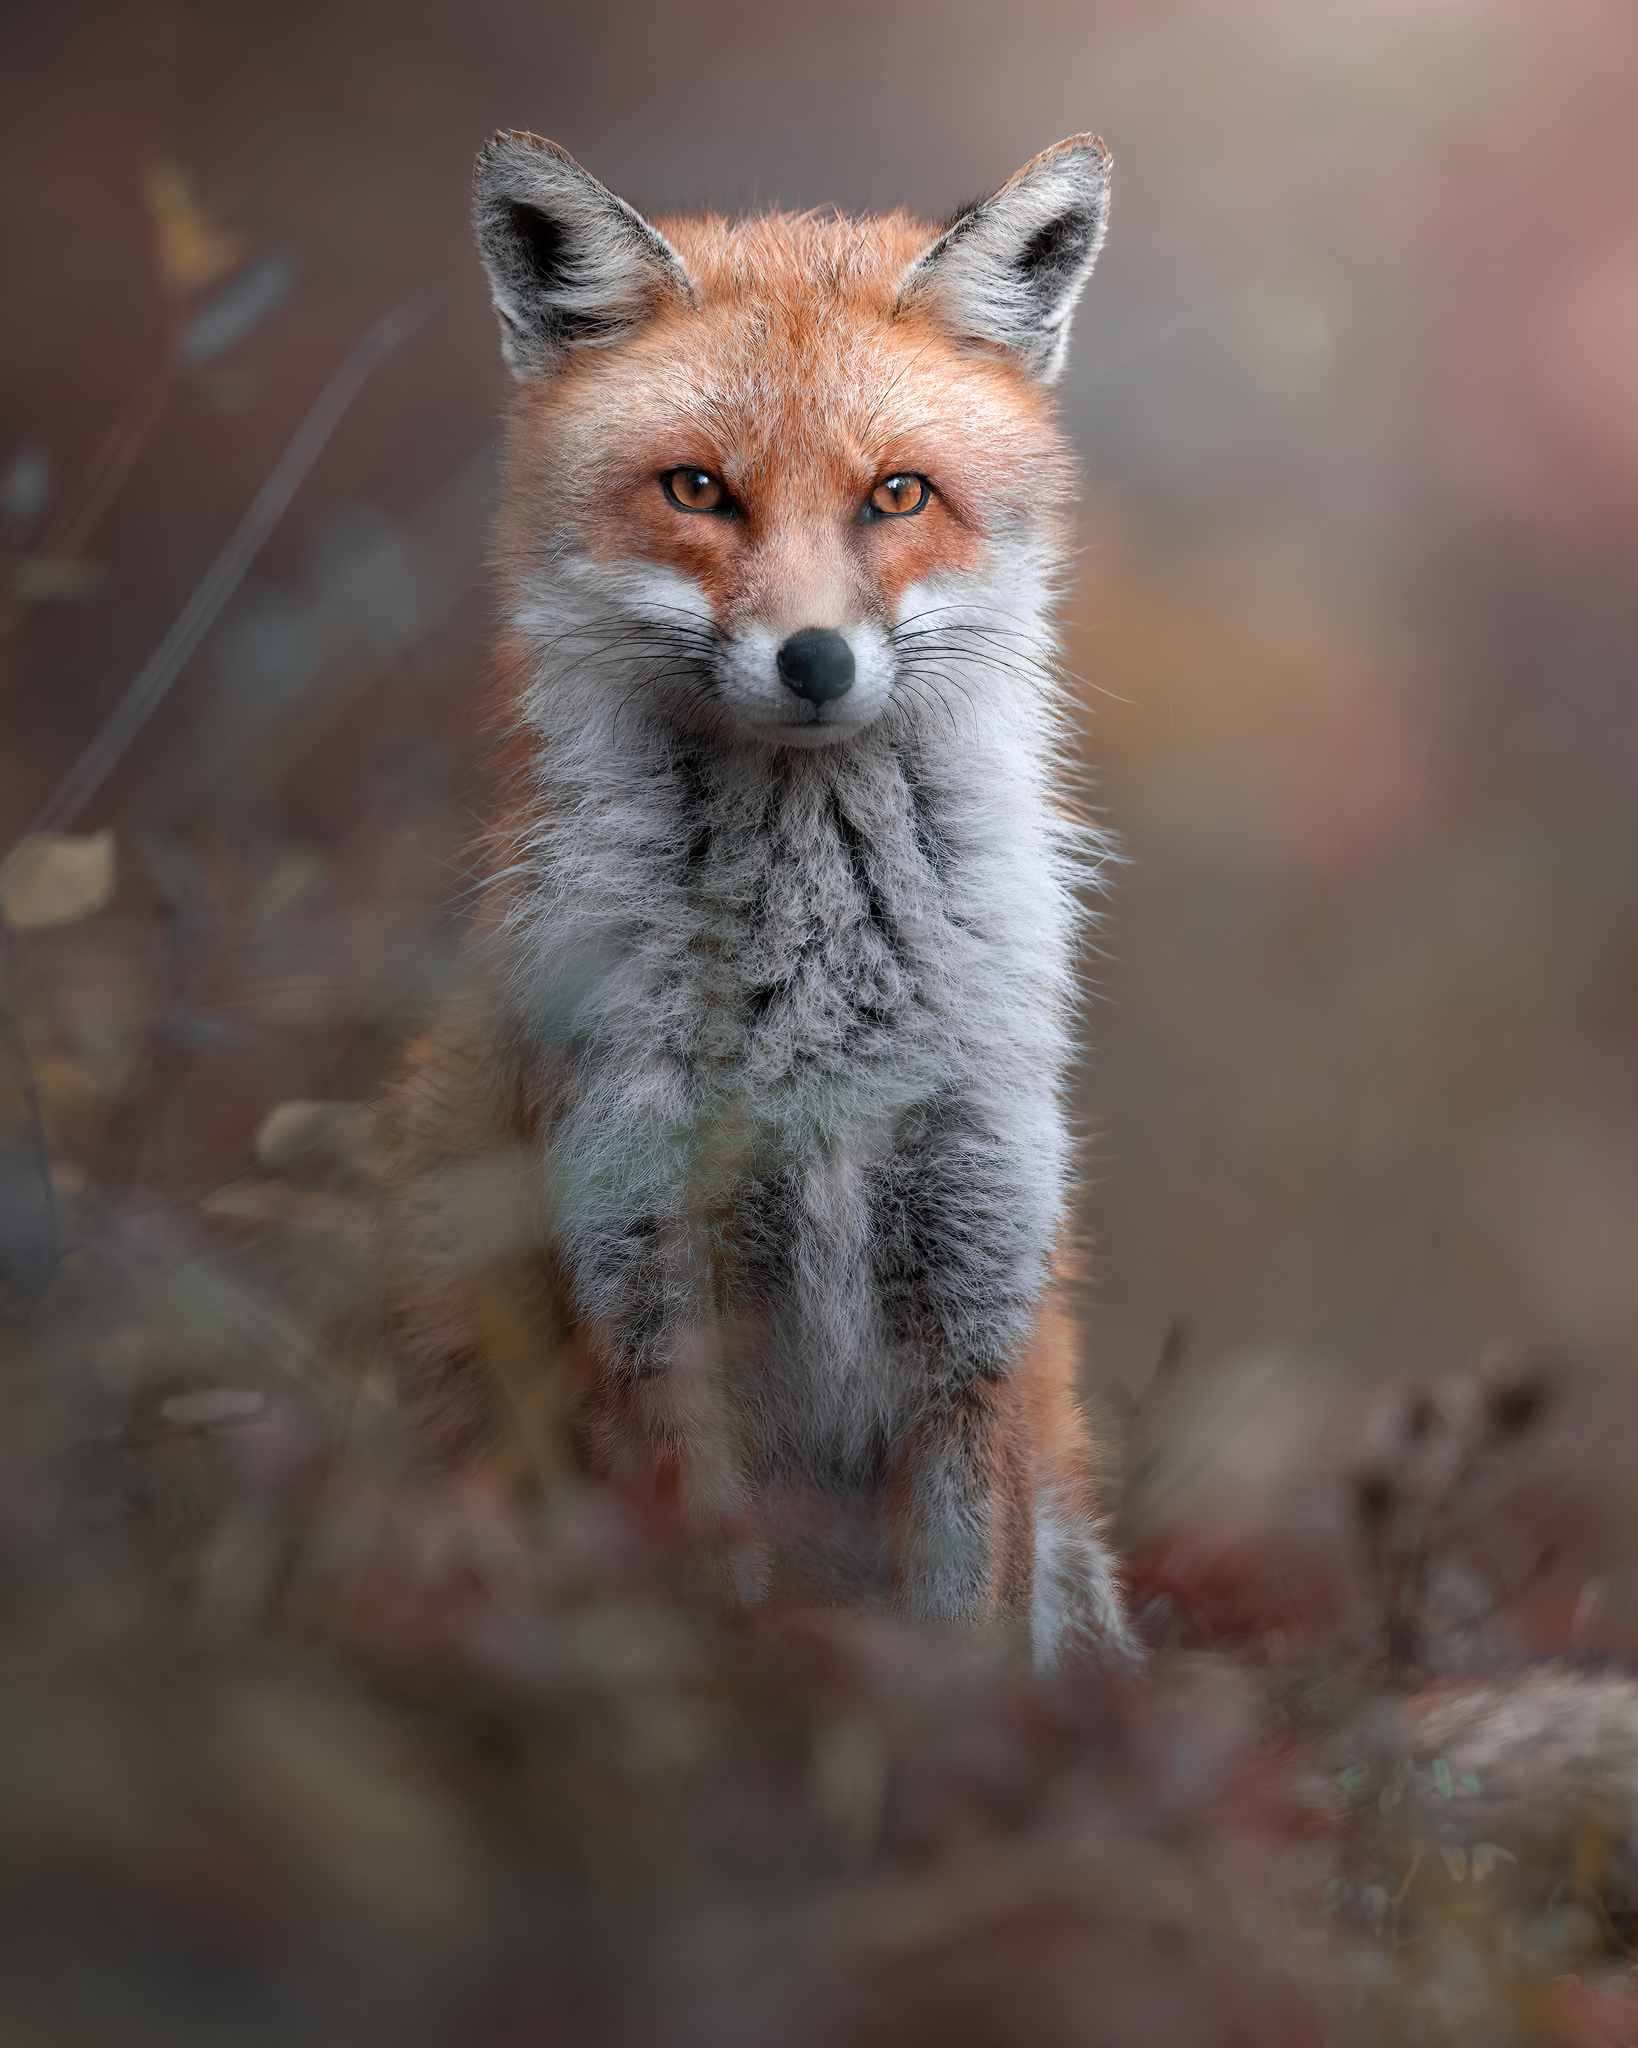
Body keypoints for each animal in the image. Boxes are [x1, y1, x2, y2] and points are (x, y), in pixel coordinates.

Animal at [381, 129, 1136, 1671]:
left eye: (897, 495)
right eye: (696, 491)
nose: (814, 660)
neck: (820, 1029)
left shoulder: (973, 1312)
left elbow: (962, 1646)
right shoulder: (651, 1304)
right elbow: (719, 1619)